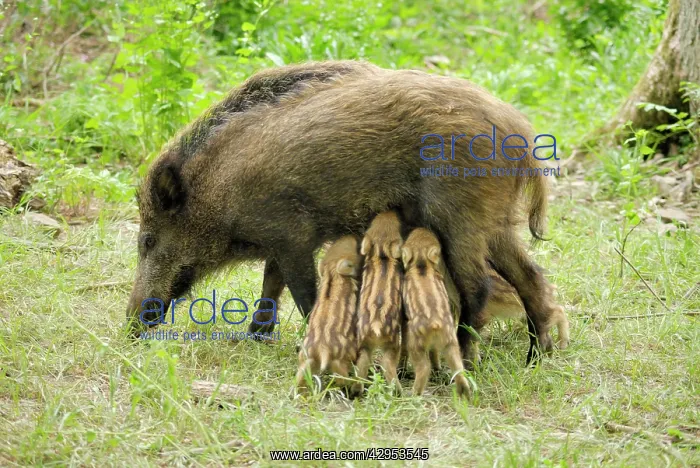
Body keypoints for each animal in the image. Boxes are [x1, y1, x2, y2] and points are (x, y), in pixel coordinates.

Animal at [125, 59, 562, 366]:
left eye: (147, 239)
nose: (131, 326)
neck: (220, 189)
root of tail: (518, 131)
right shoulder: (280, 240)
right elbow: (271, 285)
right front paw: (255, 337)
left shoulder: (293, 236)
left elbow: (303, 294)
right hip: (495, 223)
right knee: (531, 277)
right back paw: (536, 359)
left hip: (459, 218)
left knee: (479, 288)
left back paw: (467, 361)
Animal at [295, 235, 362, 394]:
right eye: (356, 248)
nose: (350, 236)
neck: (333, 274)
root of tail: (322, 350)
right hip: (342, 359)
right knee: (342, 378)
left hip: (306, 359)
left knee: (300, 377)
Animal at [351, 211, 404, 397]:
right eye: (397, 226)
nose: (390, 211)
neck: (381, 254)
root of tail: (375, 325)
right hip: (392, 344)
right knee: (387, 365)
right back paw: (399, 392)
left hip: (363, 343)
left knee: (361, 364)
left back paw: (356, 391)